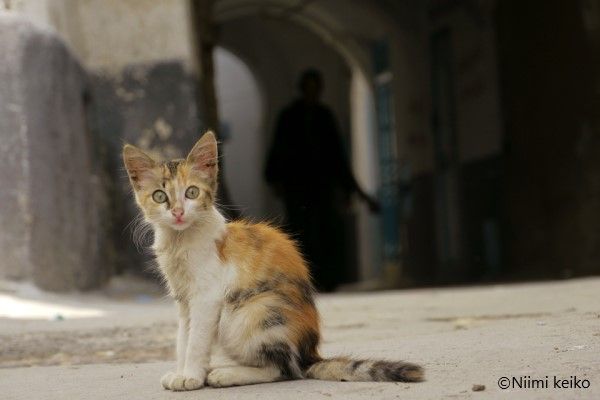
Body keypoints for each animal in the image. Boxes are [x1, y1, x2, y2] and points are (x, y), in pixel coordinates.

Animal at [122, 131, 422, 390]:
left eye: (192, 193)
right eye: (160, 196)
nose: (178, 212)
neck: (180, 241)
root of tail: (310, 353)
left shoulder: (207, 298)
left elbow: (196, 340)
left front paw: (191, 376)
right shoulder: (184, 300)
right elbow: (183, 338)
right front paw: (181, 372)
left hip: (249, 313)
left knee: (284, 369)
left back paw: (226, 374)